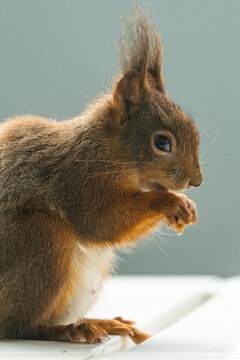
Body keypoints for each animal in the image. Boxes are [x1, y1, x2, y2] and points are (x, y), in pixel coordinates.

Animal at [0, 8, 202, 344]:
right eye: (162, 143)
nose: (196, 182)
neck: (106, 150)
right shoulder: (79, 182)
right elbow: (103, 222)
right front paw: (169, 202)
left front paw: (185, 206)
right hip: (39, 241)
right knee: (18, 327)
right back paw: (70, 329)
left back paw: (104, 322)